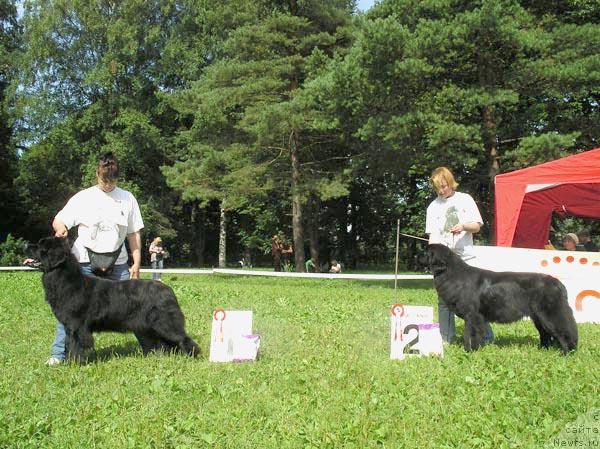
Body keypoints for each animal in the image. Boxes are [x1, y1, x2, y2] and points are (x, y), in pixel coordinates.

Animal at [25, 236, 200, 362]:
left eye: (41, 246)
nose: (26, 244)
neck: (65, 278)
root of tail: (168, 289)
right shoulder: (69, 326)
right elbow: (69, 343)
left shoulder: (77, 326)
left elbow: (76, 345)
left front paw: (74, 363)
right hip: (151, 327)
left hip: (165, 323)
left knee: (182, 338)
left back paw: (193, 356)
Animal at [426, 243, 576, 352]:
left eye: (425, 252)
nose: (418, 254)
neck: (453, 274)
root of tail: (558, 283)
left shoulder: (472, 315)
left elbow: (470, 334)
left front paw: (470, 351)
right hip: (538, 317)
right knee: (545, 334)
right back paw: (542, 350)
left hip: (550, 315)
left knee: (564, 331)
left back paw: (567, 352)